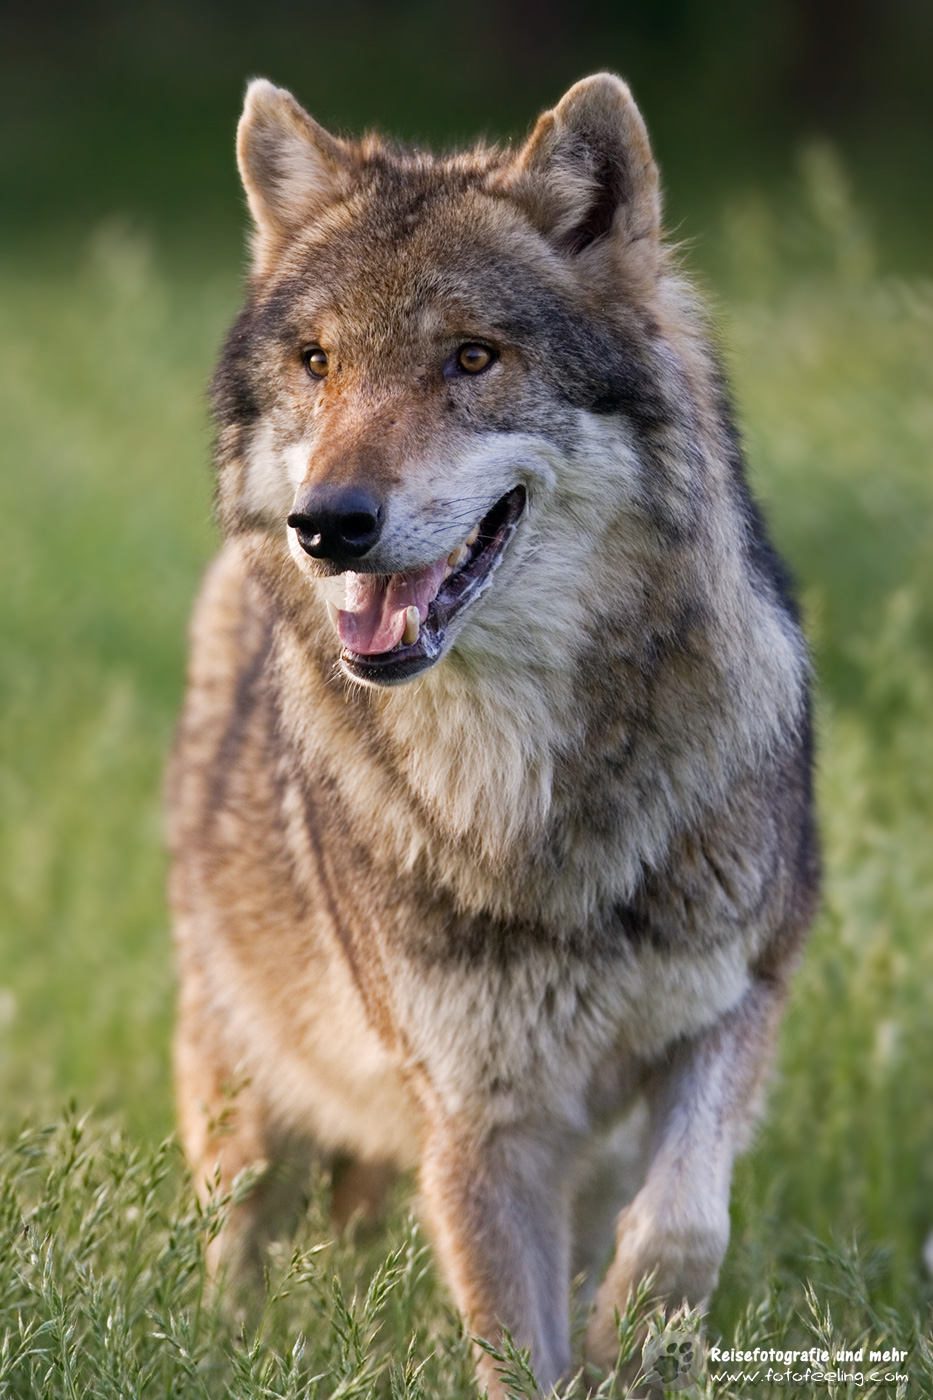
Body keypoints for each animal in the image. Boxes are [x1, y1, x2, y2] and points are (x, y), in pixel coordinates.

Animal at [169, 73, 819, 1396]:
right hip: (251, 1116)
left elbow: (685, 1227)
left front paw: (634, 1340)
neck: (532, 797)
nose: (329, 523)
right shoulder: (480, 1119)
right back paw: (228, 1349)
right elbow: (516, 1348)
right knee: (242, 1245)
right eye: (318, 362)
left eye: (472, 356)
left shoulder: (738, 1003)